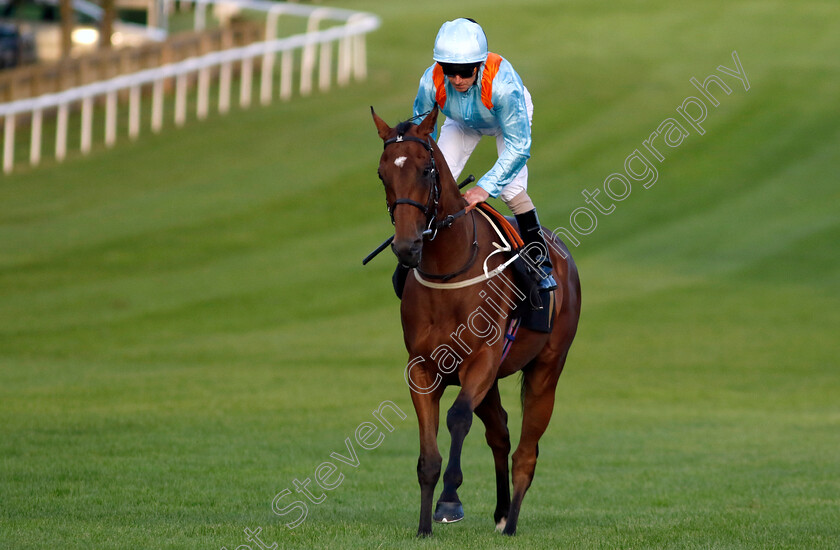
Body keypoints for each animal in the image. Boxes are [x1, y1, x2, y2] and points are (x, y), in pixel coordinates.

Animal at [370, 105, 580, 536]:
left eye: (426, 171)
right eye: (383, 174)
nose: (407, 246)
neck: (447, 271)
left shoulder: (481, 359)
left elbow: (458, 417)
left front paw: (450, 500)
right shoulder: (423, 368)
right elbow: (428, 456)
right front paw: (424, 526)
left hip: (546, 369)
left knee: (525, 452)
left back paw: (511, 522)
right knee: (500, 431)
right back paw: (500, 513)